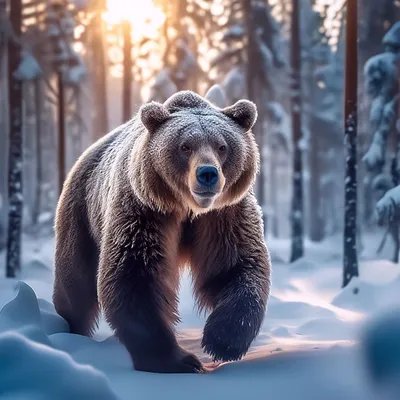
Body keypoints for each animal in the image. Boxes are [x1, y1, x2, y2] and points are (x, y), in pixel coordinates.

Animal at [52, 86, 272, 372]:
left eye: (222, 146)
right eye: (185, 146)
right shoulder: (145, 212)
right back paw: (68, 330)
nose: (208, 174)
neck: (188, 209)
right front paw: (179, 360)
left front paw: (222, 341)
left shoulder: (223, 216)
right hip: (82, 214)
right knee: (75, 281)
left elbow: (235, 266)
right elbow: (135, 275)